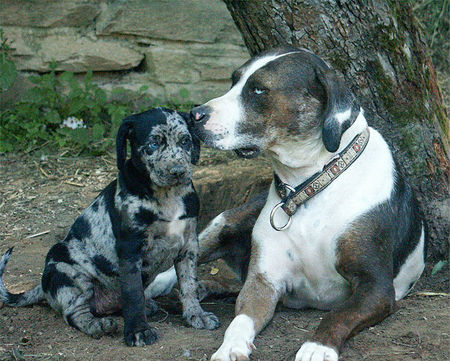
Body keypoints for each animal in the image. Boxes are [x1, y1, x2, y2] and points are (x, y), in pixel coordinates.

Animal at [0, 107, 220, 346]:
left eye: (185, 141)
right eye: (153, 144)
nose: (178, 171)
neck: (167, 196)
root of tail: (42, 287)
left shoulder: (188, 245)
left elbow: (189, 285)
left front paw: (196, 315)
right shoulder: (131, 250)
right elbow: (133, 294)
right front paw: (138, 331)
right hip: (67, 273)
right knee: (75, 313)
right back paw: (99, 325)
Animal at [147, 47, 426, 360]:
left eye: (258, 89)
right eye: (233, 80)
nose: (194, 115)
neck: (308, 184)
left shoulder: (376, 287)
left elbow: (338, 314)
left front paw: (317, 347)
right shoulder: (263, 281)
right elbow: (240, 319)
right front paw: (230, 347)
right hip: (224, 223)